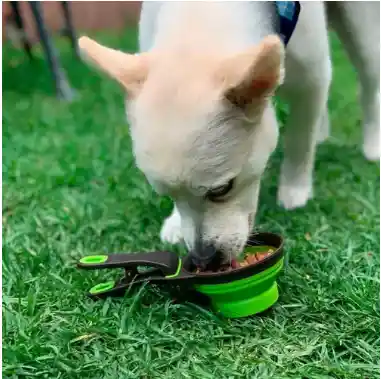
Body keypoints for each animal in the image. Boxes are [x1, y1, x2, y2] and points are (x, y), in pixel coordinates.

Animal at [78, 0, 378, 268]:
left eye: (222, 189)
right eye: (167, 194)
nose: (203, 260)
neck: (200, 13)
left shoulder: (312, 75)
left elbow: (299, 141)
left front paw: (295, 190)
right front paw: (176, 221)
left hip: (361, 31)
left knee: (368, 84)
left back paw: (372, 144)